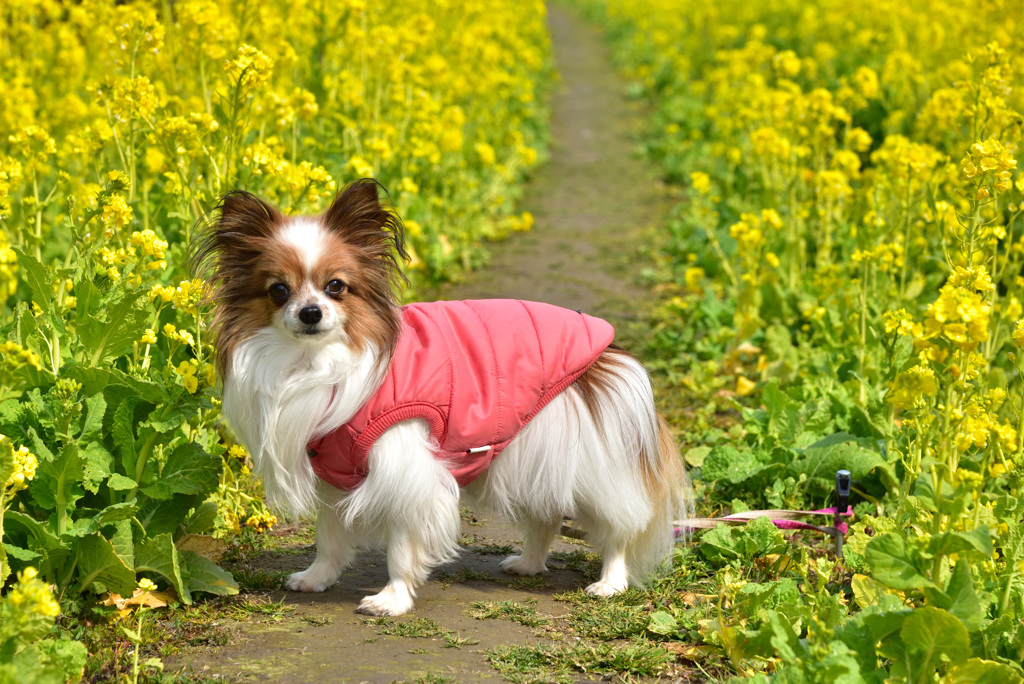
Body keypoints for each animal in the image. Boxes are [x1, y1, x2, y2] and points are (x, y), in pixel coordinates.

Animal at [192, 179, 692, 618]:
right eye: (279, 290)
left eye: (336, 286)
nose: (311, 312)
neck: (315, 364)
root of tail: (609, 348)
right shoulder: (335, 474)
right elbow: (329, 536)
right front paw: (318, 578)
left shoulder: (406, 471)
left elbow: (400, 547)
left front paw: (391, 600)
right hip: (535, 454)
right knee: (546, 515)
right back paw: (529, 564)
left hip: (588, 460)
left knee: (618, 524)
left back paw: (610, 581)